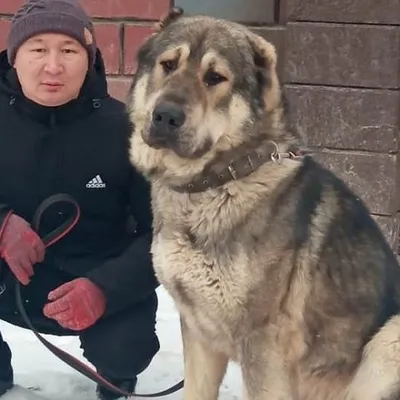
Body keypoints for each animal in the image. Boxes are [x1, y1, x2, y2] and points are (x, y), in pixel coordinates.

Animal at [126, 9, 400, 400]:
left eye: (215, 77)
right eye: (168, 64)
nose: (165, 116)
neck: (217, 182)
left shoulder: (263, 343)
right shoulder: (198, 334)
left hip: (387, 341)